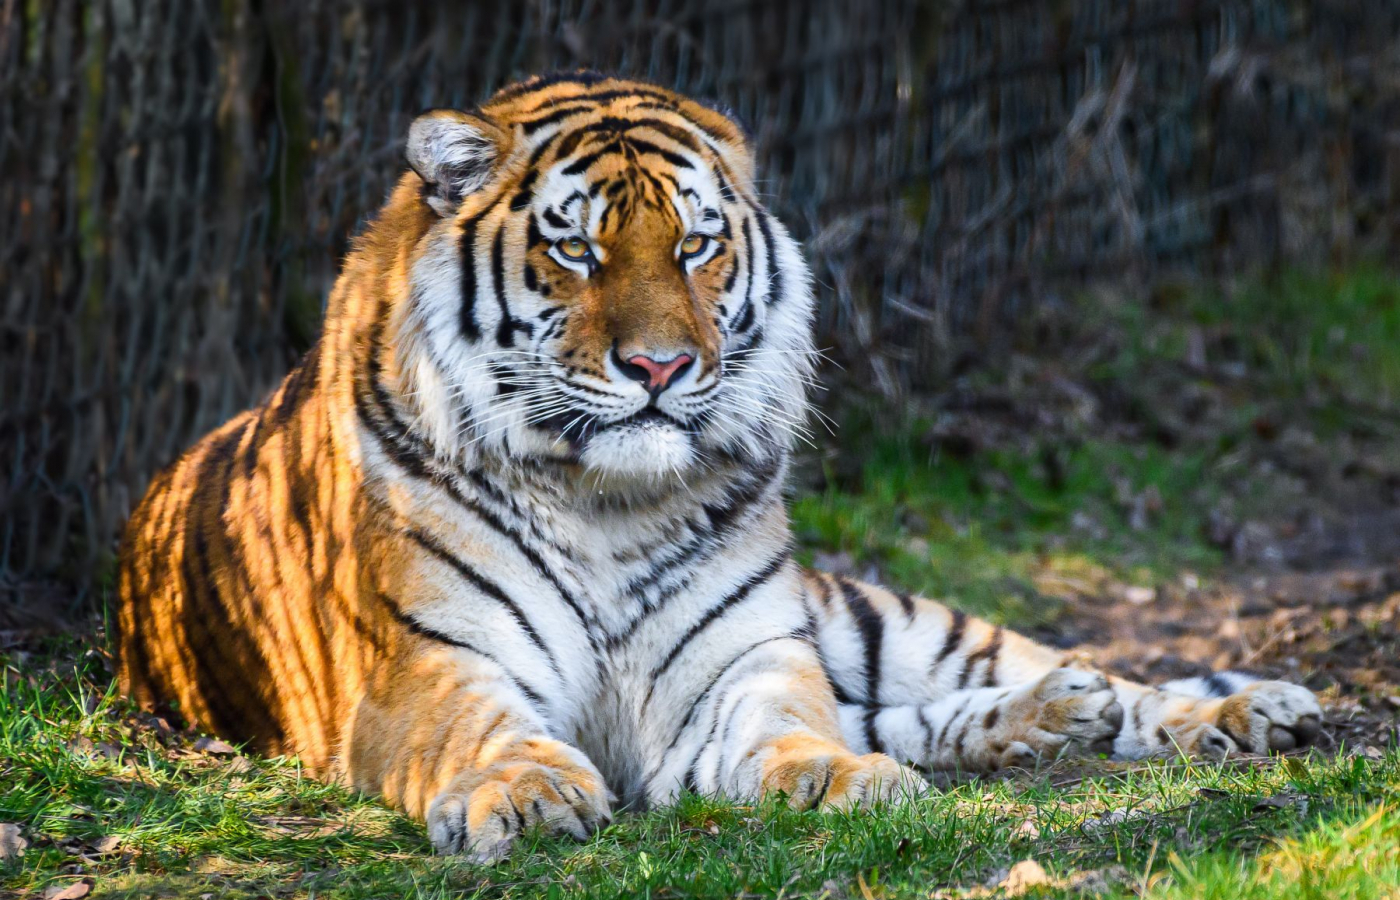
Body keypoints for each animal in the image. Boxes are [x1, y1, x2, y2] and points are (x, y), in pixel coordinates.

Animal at [117, 71, 1323, 860]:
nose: (660, 365)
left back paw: (1239, 709)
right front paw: (528, 794)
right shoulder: (429, 668)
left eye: (695, 245)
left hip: (876, 619)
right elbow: (488, 732)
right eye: (575, 248)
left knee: (1065, 676)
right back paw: (1048, 723)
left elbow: (796, 729)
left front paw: (838, 782)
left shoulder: (746, 660)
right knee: (927, 713)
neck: (599, 499)